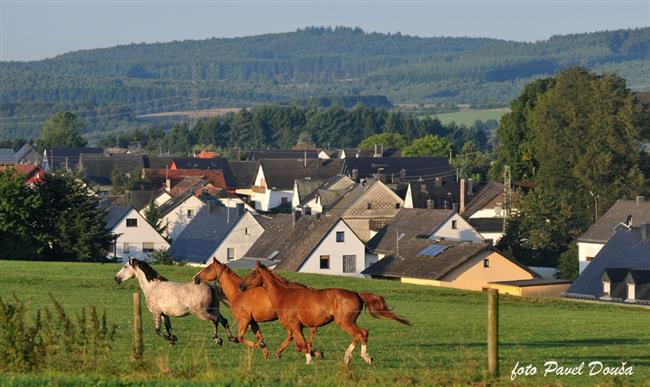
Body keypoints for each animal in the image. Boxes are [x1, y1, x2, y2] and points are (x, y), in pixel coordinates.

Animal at [191, 260, 320, 360]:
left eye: (208, 269)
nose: (195, 278)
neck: (238, 293)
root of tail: (306, 288)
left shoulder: (245, 320)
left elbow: (241, 337)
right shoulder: (252, 322)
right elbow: (259, 336)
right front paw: (265, 353)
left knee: (301, 332)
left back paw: (308, 350)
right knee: (299, 332)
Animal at [238, 260, 410, 366]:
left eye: (253, 273)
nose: (241, 286)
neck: (284, 295)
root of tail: (356, 294)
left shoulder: (295, 325)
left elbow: (302, 344)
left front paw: (309, 360)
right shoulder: (299, 327)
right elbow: (302, 343)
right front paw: (313, 354)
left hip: (345, 322)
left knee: (361, 333)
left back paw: (358, 358)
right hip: (348, 322)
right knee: (362, 334)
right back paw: (357, 357)